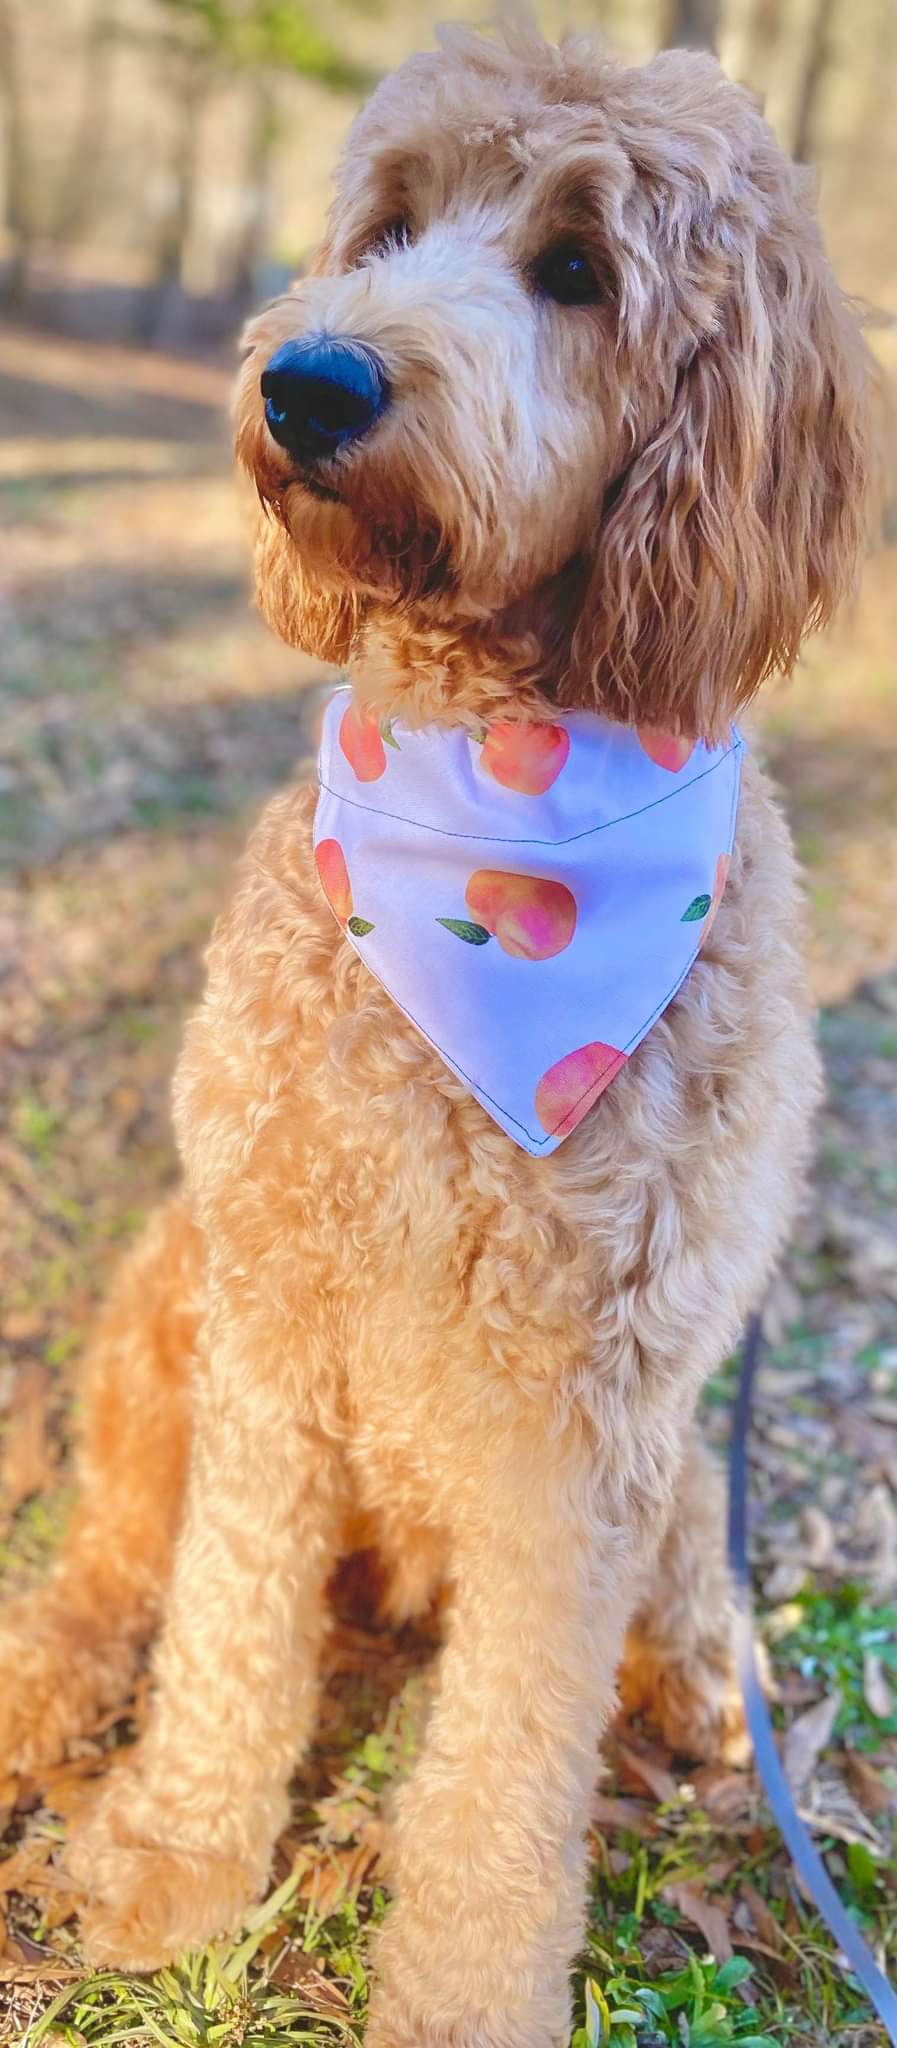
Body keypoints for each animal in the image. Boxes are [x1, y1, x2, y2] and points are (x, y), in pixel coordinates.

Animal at [0, 19, 876, 2048]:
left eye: (578, 269)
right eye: (388, 222)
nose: (311, 380)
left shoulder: (591, 1410)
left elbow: (505, 1754)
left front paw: (467, 1985)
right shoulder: (271, 1308)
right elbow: (226, 1615)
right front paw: (177, 1855)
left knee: (675, 1588)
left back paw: (699, 1678)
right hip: (164, 1294)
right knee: (107, 1561)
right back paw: (40, 1682)